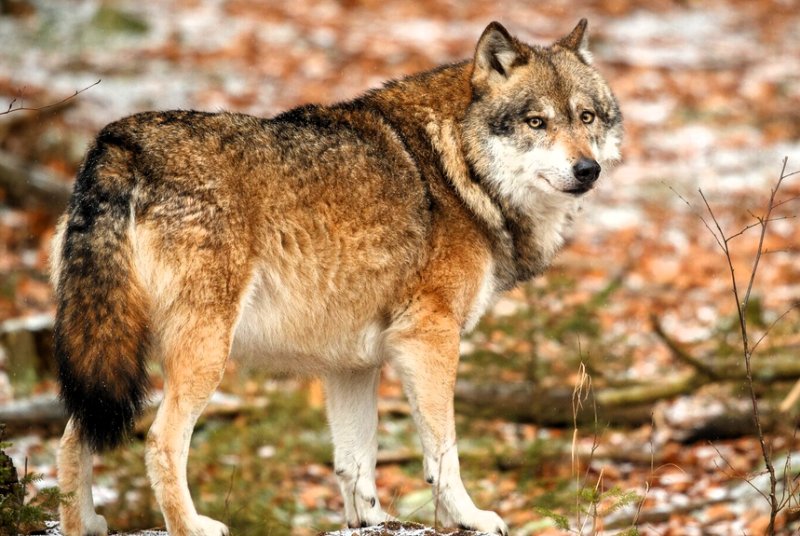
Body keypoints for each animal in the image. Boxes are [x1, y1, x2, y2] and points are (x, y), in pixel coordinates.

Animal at [52, 19, 621, 536]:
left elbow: (355, 461)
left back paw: (83, 524)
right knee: (158, 442)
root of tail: (118, 142)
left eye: (586, 116)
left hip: (111, 345)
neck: (459, 166)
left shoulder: (351, 364)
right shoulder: (429, 339)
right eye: (536, 122)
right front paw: (472, 517)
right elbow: (443, 453)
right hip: (201, 352)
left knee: (73, 434)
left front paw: (371, 520)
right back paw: (191, 525)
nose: (587, 170)